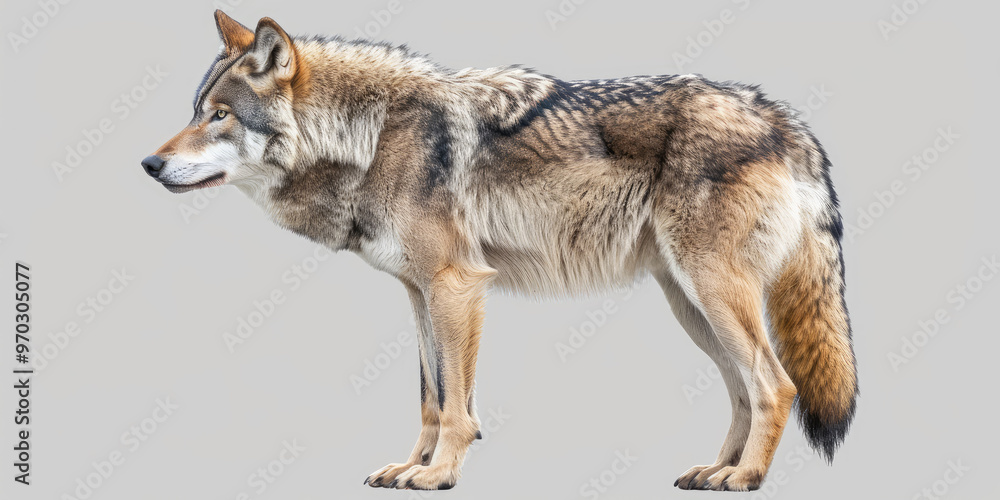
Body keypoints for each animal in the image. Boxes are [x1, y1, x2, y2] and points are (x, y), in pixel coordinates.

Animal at [142, 10, 858, 492]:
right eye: (196, 110)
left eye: (219, 116)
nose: (148, 164)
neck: (372, 137)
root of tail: (784, 118)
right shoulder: (419, 293)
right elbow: (431, 398)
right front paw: (411, 467)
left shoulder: (457, 285)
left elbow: (458, 405)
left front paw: (439, 475)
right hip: (691, 305)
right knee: (742, 391)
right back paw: (715, 470)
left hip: (712, 292)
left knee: (777, 385)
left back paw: (746, 478)